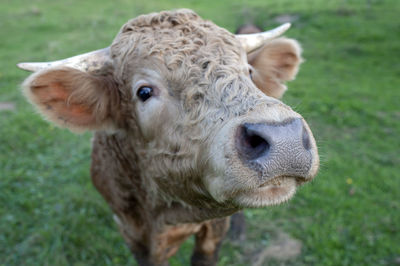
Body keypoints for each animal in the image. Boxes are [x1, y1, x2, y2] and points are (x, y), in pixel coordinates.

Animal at [18, 8, 318, 266]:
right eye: (144, 92)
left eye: (251, 73)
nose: (284, 137)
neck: (167, 212)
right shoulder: (133, 235)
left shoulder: (213, 231)